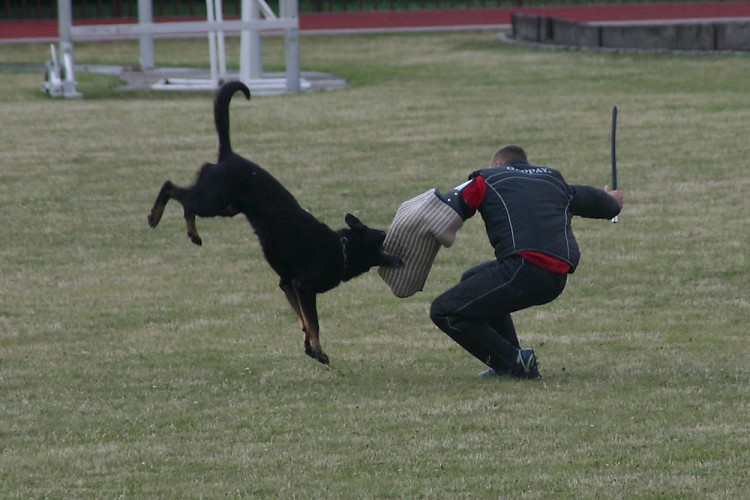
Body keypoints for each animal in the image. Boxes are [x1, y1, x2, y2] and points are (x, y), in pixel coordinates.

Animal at [149, 81, 402, 364]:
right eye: (383, 238)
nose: (402, 256)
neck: (343, 248)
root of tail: (228, 156)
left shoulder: (287, 284)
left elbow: (303, 319)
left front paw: (309, 347)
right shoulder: (303, 285)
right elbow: (314, 321)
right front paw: (319, 351)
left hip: (226, 207)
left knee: (186, 203)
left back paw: (193, 233)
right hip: (213, 200)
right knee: (172, 189)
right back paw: (155, 217)